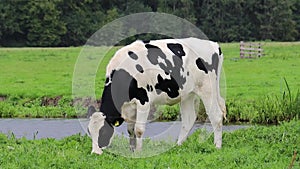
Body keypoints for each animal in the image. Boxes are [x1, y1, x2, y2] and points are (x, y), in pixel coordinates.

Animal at [86, 37, 225, 155]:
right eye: (89, 131)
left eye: (103, 131)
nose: (95, 153)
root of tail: (212, 44)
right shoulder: (129, 106)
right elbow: (130, 129)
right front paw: (131, 149)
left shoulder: (143, 101)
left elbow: (138, 129)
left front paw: (138, 151)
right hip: (187, 94)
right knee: (189, 119)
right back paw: (178, 146)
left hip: (208, 89)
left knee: (216, 116)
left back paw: (217, 146)